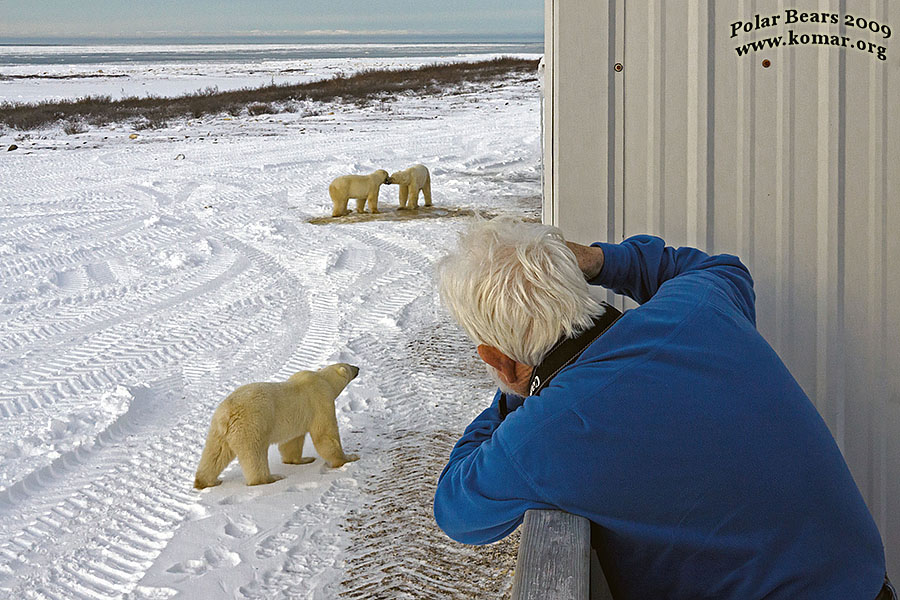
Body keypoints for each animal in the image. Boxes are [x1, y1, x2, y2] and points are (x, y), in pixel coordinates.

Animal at [192, 360, 358, 488]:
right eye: (349, 366)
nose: (358, 368)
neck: (322, 379)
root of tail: (227, 413)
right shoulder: (320, 401)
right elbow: (325, 434)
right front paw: (348, 458)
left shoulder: (296, 419)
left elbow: (291, 442)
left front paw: (303, 459)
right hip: (251, 426)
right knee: (254, 455)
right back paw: (271, 478)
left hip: (218, 430)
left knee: (215, 453)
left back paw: (206, 481)